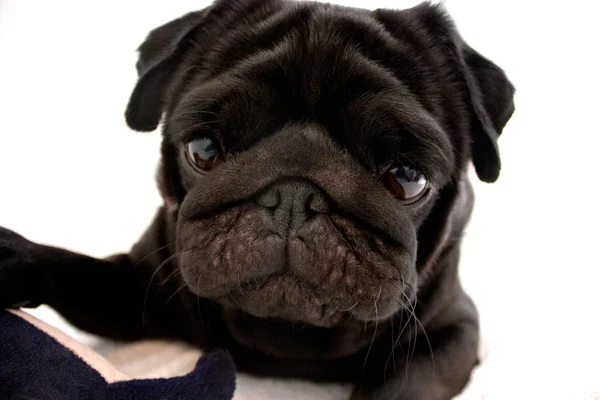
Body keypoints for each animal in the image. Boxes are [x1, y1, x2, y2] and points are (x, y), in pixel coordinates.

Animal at [0, 1, 516, 398]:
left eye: (407, 179)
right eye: (203, 150)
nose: (294, 194)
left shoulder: (450, 332)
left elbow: (405, 383)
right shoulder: (141, 289)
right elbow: (75, 267)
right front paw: (15, 256)